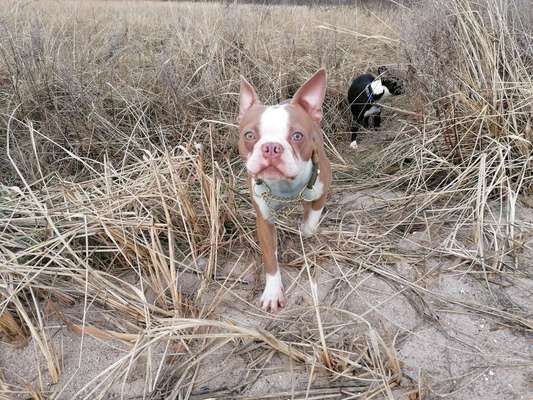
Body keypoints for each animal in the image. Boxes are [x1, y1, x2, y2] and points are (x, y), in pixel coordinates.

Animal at [236, 69, 328, 312]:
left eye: (297, 136)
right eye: (249, 135)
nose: (271, 147)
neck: (286, 187)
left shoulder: (322, 190)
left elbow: (311, 222)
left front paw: (305, 227)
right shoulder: (263, 219)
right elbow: (270, 257)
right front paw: (272, 292)